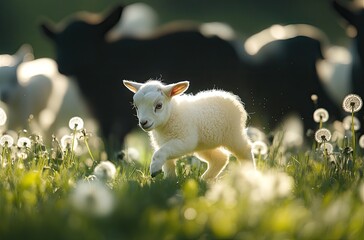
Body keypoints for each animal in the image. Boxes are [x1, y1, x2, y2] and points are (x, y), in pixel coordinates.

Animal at [123, 79, 255, 179]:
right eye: (136, 107)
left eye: (159, 106)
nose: (143, 122)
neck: (171, 115)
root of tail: (231, 96)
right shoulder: (162, 143)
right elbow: (167, 163)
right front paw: (169, 182)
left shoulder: (184, 140)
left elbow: (159, 153)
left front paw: (154, 169)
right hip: (204, 145)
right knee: (220, 158)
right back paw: (204, 180)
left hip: (234, 134)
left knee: (246, 150)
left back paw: (250, 174)